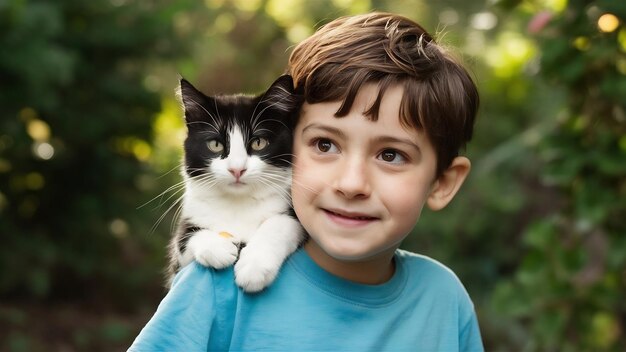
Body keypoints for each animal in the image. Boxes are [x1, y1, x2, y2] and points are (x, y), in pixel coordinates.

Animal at [166, 75, 302, 292]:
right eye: (215, 144)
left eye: (258, 142)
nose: (237, 169)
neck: (238, 203)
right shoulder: (179, 258)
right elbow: (183, 238)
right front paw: (219, 247)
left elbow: (281, 222)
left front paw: (254, 266)